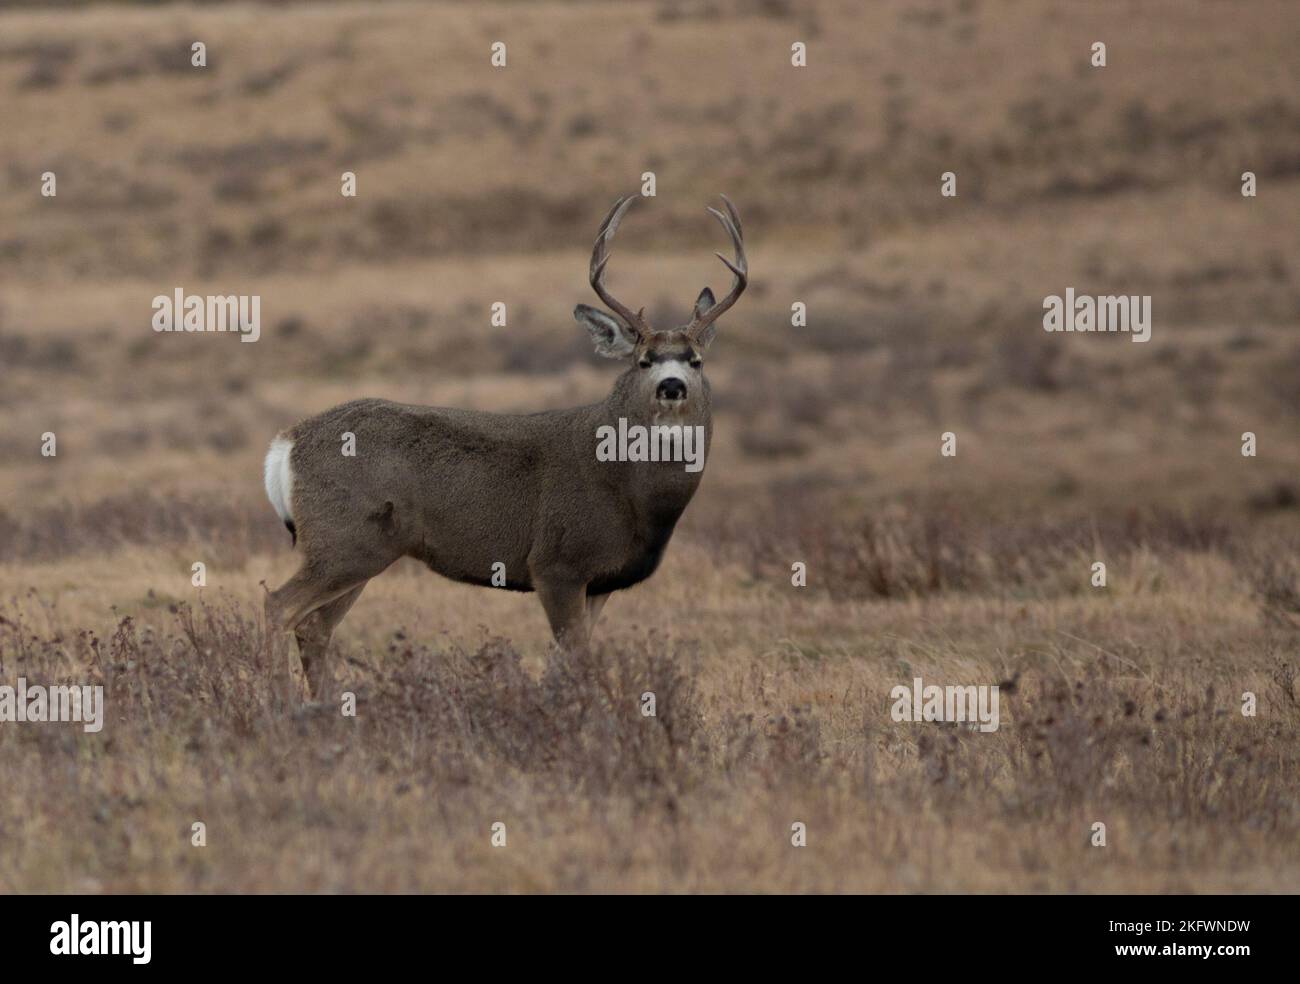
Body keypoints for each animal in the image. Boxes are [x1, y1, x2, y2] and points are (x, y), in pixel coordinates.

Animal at [261, 193, 754, 696]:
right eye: (644, 360)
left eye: (696, 360)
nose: (672, 386)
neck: (629, 489)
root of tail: (288, 441)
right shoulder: (555, 563)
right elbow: (575, 661)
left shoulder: (599, 582)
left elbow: (568, 661)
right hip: (345, 539)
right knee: (278, 607)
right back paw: (280, 699)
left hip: (362, 548)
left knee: (314, 626)